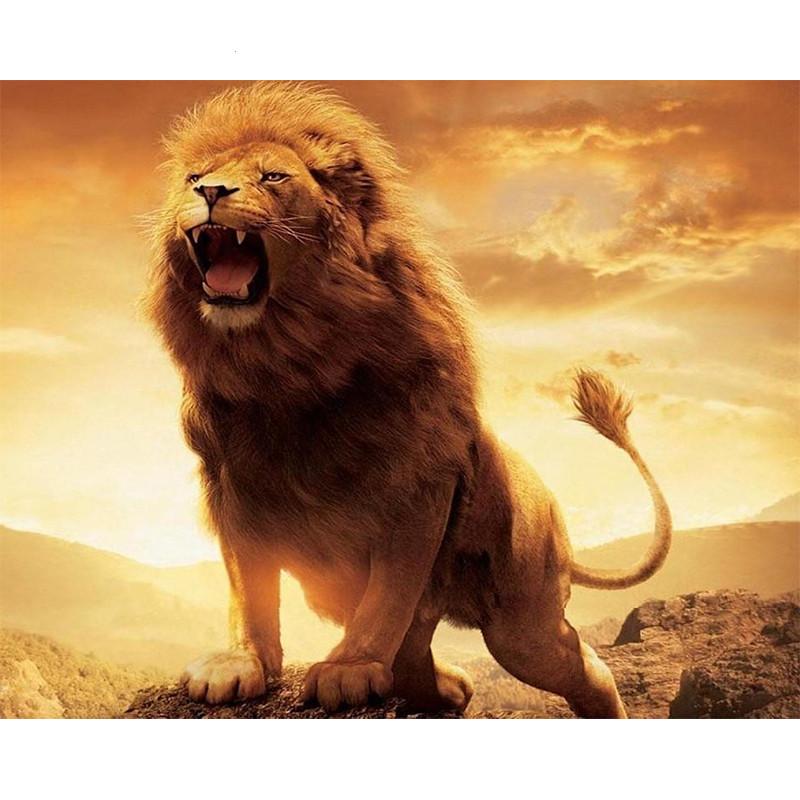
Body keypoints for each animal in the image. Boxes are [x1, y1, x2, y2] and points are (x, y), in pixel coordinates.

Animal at [146, 82, 672, 718]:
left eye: (273, 176)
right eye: (195, 175)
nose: (211, 192)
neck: (284, 364)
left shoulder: (419, 483)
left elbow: (389, 592)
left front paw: (348, 669)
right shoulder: (233, 484)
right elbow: (249, 587)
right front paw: (238, 664)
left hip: (522, 620)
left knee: (577, 664)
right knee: (418, 656)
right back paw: (450, 686)